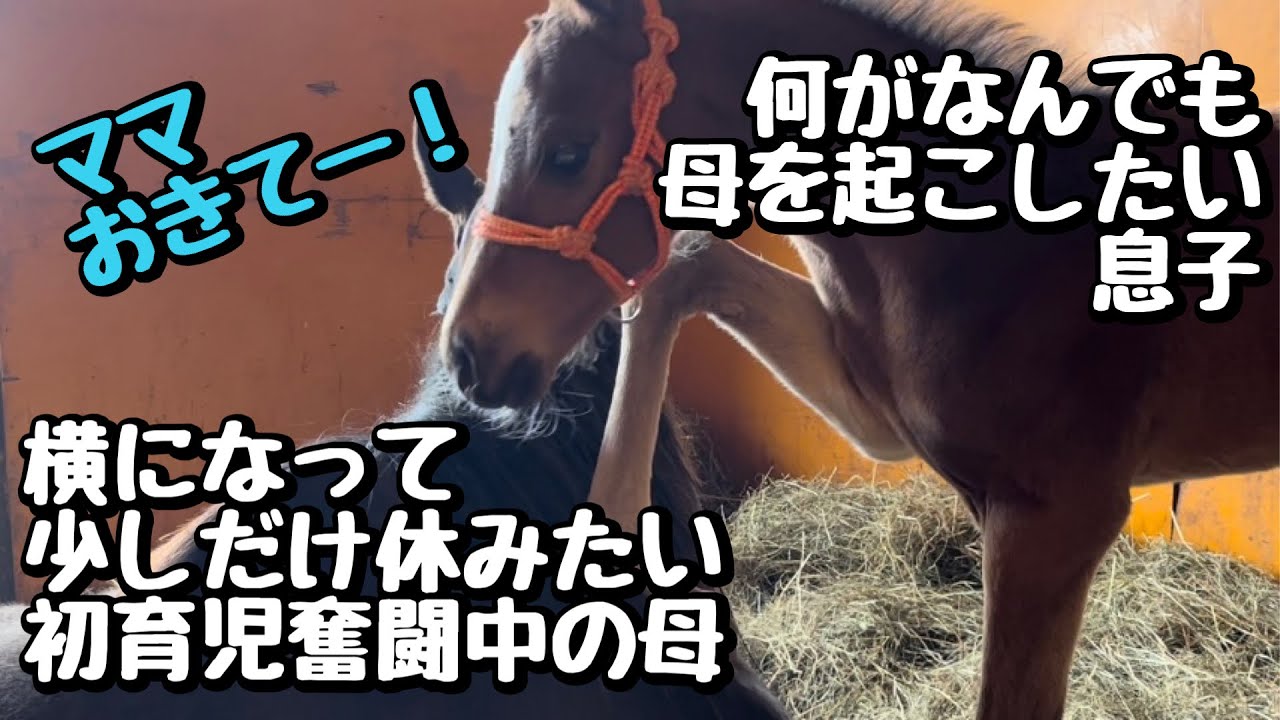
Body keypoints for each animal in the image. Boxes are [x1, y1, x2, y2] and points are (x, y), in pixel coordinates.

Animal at [422, 1, 1280, 718]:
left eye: (569, 152)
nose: (469, 355)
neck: (998, 246)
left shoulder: (1059, 518)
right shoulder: (884, 425)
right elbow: (683, 271)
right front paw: (617, 511)